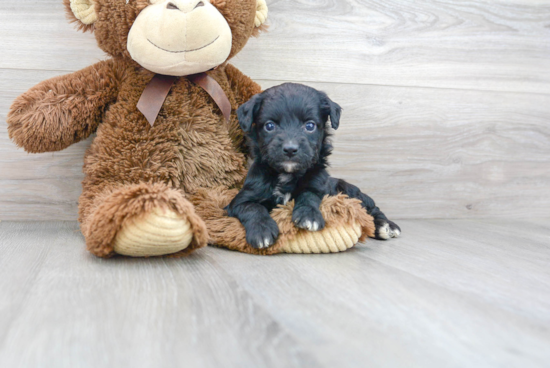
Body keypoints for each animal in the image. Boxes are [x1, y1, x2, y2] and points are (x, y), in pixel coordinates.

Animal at [226, 82, 404, 250]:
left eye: (310, 126)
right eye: (269, 126)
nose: (290, 149)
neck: (287, 174)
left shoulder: (317, 185)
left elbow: (309, 195)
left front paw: (309, 216)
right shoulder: (239, 201)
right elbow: (252, 207)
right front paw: (261, 231)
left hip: (349, 190)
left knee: (371, 208)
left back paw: (386, 226)